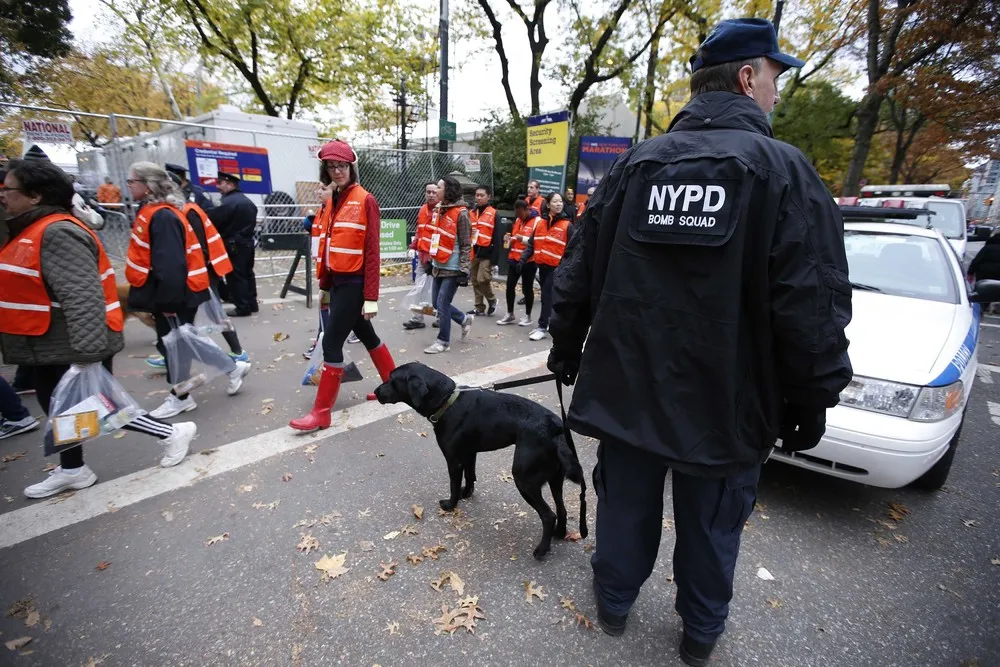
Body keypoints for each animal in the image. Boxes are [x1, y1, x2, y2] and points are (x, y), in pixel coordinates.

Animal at [376, 362, 584, 560]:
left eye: (392, 380)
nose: (376, 392)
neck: (447, 402)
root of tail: (555, 430)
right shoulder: (469, 454)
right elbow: (470, 476)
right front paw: (466, 494)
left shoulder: (453, 460)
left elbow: (454, 485)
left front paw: (451, 505)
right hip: (555, 479)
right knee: (562, 509)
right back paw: (559, 534)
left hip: (524, 479)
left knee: (549, 515)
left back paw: (542, 550)